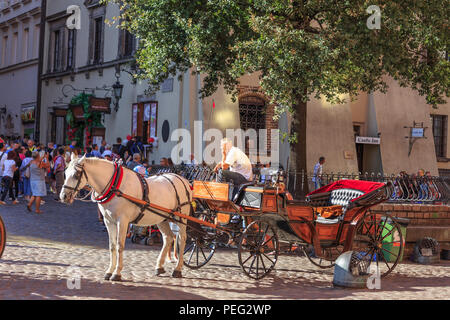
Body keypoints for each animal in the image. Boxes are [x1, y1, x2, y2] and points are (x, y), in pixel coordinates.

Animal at [60, 155, 192, 280]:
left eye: (76, 174)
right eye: (65, 173)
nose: (63, 196)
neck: (114, 186)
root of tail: (184, 180)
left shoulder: (122, 221)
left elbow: (120, 245)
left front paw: (117, 273)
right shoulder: (108, 221)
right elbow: (112, 246)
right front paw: (109, 271)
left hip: (181, 218)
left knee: (182, 239)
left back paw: (177, 269)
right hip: (162, 218)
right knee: (168, 237)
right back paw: (159, 267)